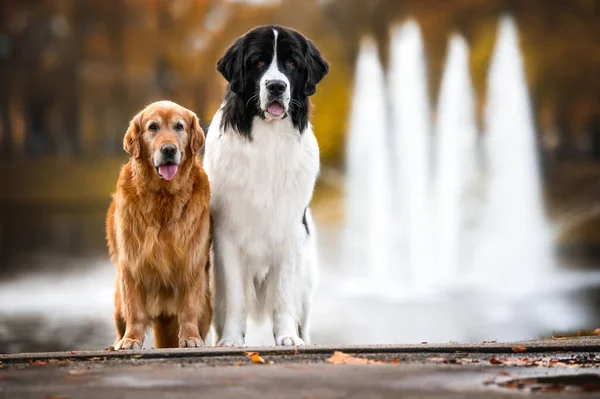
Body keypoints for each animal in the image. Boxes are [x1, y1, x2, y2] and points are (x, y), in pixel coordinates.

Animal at [205, 26, 328, 348]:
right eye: (258, 62)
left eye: (292, 64)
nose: (276, 86)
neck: (268, 140)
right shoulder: (227, 236)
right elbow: (235, 297)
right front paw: (231, 340)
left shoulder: (290, 234)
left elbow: (283, 296)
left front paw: (287, 338)